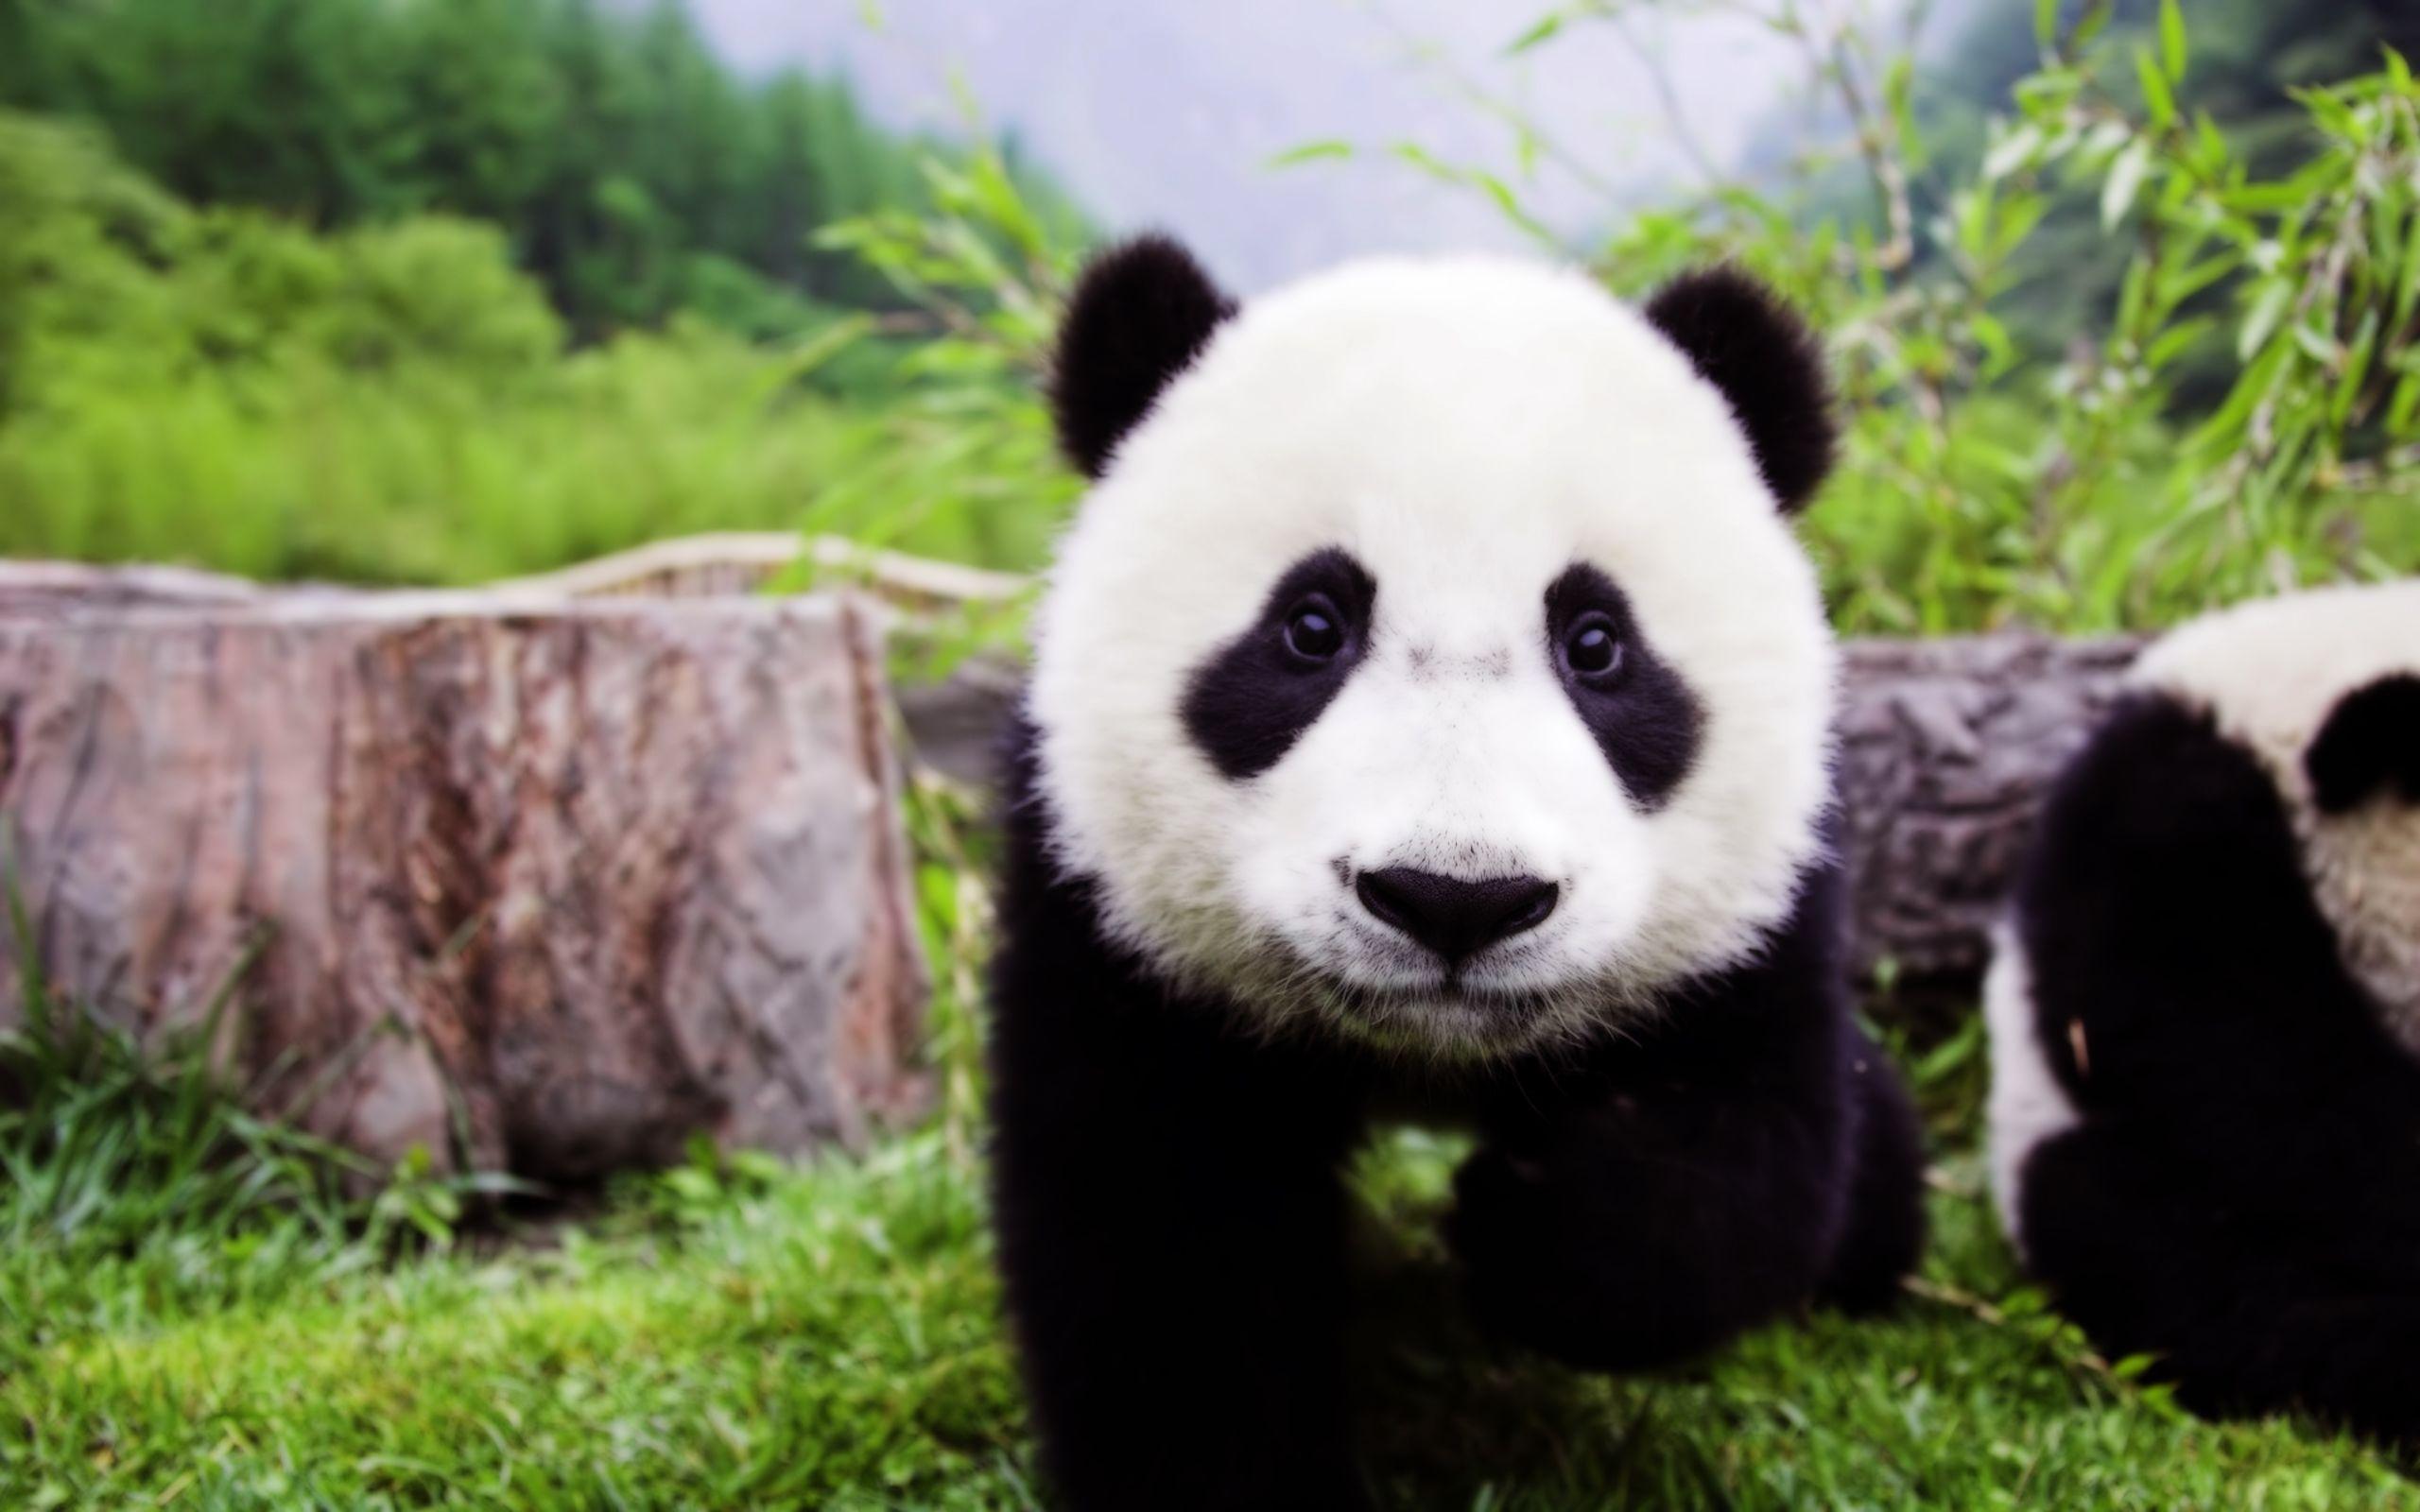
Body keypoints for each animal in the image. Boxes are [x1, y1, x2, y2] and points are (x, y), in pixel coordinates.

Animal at [988, 235, 1927, 1511]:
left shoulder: (1760, 911)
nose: (1454, 898)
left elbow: (1746, 1143)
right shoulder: (1105, 909)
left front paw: (1534, 1228)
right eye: (1311, 626)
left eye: (1596, 643)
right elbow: (1166, 1240)